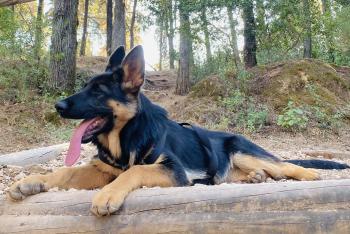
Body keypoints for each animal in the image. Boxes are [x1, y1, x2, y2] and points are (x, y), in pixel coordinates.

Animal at [7, 45, 348, 216]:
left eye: (97, 92)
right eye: (84, 87)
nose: (57, 105)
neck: (128, 138)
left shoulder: (172, 170)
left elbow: (135, 171)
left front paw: (108, 194)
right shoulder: (102, 169)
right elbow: (65, 173)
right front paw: (32, 182)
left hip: (243, 150)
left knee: (285, 165)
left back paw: (306, 175)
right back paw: (256, 178)